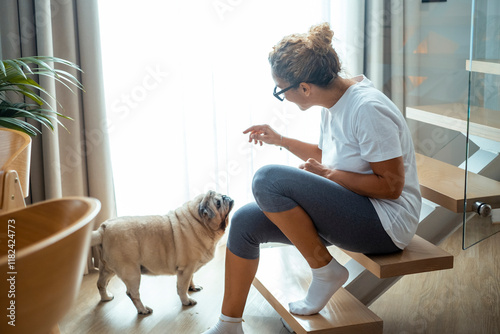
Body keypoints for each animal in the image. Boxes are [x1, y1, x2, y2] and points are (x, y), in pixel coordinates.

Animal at [90, 189, 234, 314]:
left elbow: (191, 279)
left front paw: (192, 287)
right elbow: (182, 288)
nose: (226, 197)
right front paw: (186, 301)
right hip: (132, 273)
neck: (199, 221)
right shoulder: (186, 269)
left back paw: (106, 298)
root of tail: (103, 230)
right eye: (218, 203)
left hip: (107, 269)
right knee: (132, 293)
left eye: (221, 195)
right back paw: (143, 310)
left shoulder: (191, 268)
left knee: (100, 283)